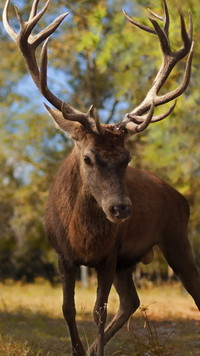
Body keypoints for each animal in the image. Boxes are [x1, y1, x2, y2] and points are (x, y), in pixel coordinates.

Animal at [3, 0, 200, 354]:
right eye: (88, 157)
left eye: (127, 158)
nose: (121, 209)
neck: (82, 238)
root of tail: (180, 197)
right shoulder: (62, 254)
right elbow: (68, 308)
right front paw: (79, 349)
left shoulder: (109, 254)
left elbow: (97, 311)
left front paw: (92, 347)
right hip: (129, 261)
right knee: (131, 301)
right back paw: (95, 346)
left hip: (176, 236)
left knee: (188, 290)